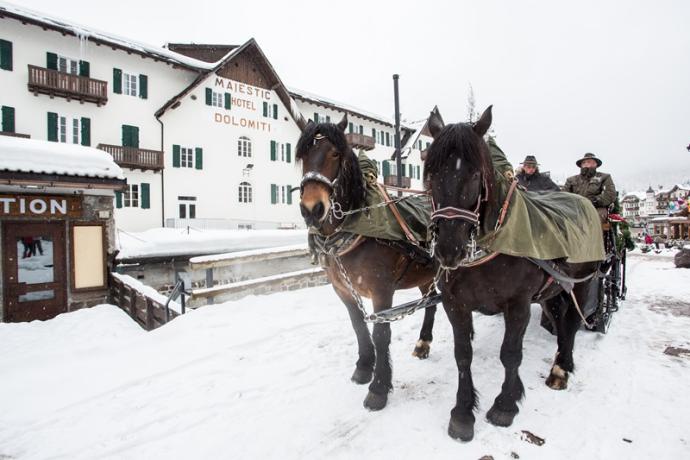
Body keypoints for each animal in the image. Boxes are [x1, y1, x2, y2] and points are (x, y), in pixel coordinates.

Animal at [294, 114, 436, 410]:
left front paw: (379, 387)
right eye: (302, 155)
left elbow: (381, 334)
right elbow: (358, 326)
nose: (312, 209)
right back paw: (423, 343)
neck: (357, 227)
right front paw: (363, 367)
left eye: (335, 153)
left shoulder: (382, 290)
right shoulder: (343, 289)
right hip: (426, 275)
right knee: (431, 301)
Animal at [422, 106, 600, 440]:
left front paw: (505, 405)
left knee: (571, 322)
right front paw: (463, 411)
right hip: (552, 290)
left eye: (475, 174)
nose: (449, 250)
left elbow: (510, 354)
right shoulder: (455, 304)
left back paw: (561, 367)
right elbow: (463, 354)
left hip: (583, 283)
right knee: (558, 316)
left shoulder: (517, 304)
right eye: (430, 176)